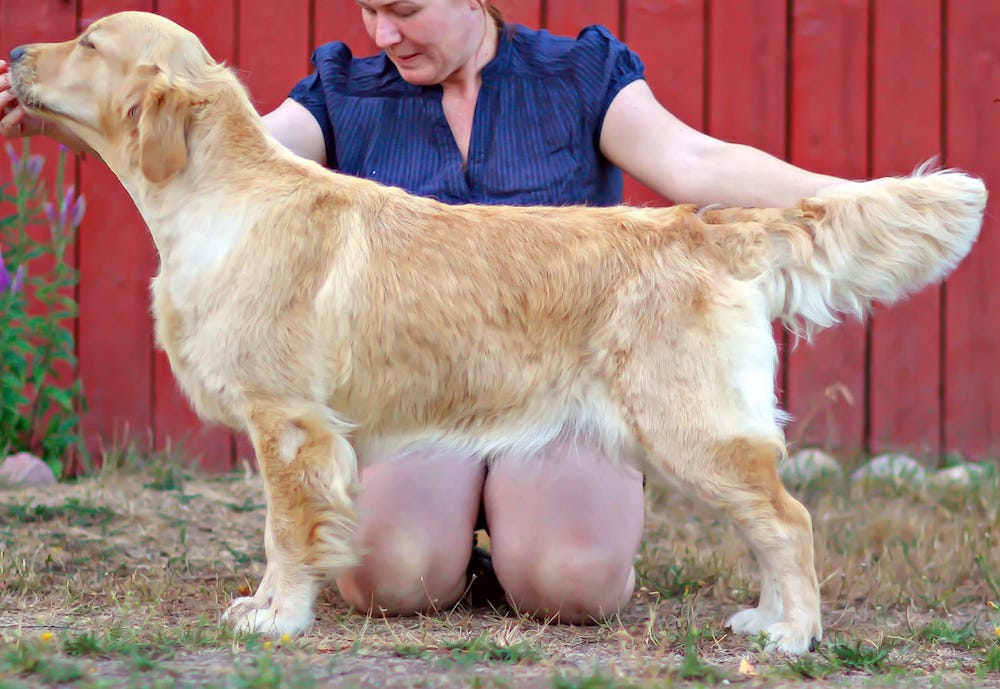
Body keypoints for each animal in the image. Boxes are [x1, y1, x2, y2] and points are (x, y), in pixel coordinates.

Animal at [11, 12, 988, 656]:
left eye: (89, 42)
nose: (15, 50)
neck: (218, 197)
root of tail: (702, 226)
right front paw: (265, 604)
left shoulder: (288, 420)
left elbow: (286, 532)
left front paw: (278, 615)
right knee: (769, 523)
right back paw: (765, 617)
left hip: (689, 426)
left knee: (790, 520)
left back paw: (792, 632)